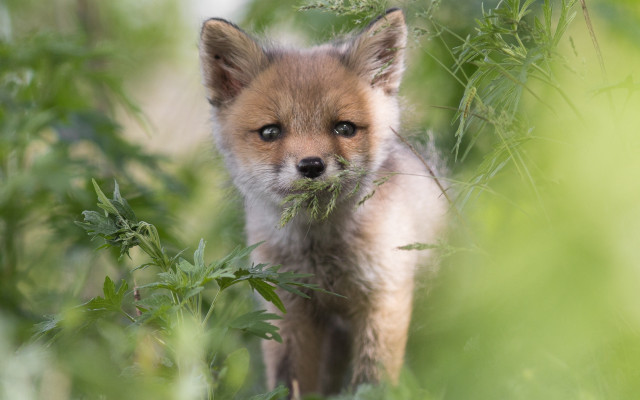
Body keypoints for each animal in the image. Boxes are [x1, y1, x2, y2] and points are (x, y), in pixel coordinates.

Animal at [199, 8, 447, 396]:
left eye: (344, 128)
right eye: (271, 132)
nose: (312, 166)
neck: (319, 252)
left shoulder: (385, 296)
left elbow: (372, 380)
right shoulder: (286, 305)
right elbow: (290, 381)